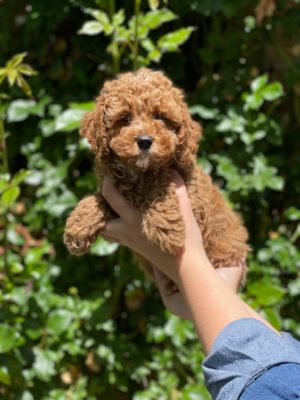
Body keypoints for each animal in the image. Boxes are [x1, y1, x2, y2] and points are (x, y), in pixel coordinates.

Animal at [64, 67, 250, 282]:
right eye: (125, 118)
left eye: (161, 117)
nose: (145, 141)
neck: (139, 171)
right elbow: (97, 199)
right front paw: (78, 227)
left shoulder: (194, 201)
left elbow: (160, 182)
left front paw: (166, 230)